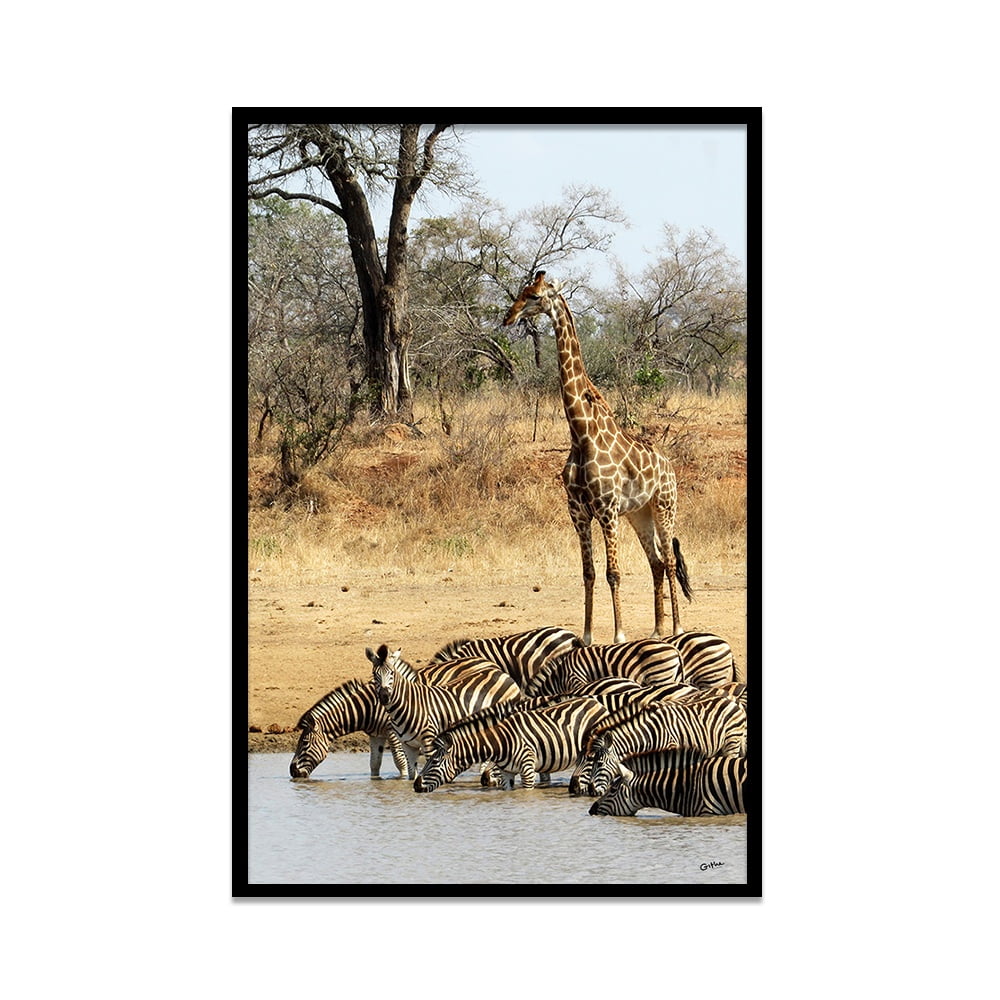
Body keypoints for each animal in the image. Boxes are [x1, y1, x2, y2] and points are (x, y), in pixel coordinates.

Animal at [367, 644, 521, 760]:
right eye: (375, 674)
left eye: (392, 673)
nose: (384, 696)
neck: (409, 703)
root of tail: (502, 673)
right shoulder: (408, 745)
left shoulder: (429, 742)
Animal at [414, 695, 608, 792]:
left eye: (434, 762)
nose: (415, 785)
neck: (500, 742)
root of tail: (597, 703)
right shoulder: (506, 773)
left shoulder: (528, 770)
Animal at [503, 271, 692, 645]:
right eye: (521, 292)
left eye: (534, 296)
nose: (509, 317)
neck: (581, 432)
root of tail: (669, 466)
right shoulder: (578, 511)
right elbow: (588, 572)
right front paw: (587, 635)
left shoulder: (606, 510)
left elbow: (613, 572)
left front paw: (618, 634)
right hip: (638, 513)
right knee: (656, 561)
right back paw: (657, 629)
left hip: (664, 506)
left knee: (669, 561)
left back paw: (676, 628)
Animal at [582, 695, 747, 798]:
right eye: (591, 761)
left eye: (599, 763)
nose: (591, 791)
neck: (646, 735)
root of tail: (734, 701)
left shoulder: (670, 749)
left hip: (731, 742)